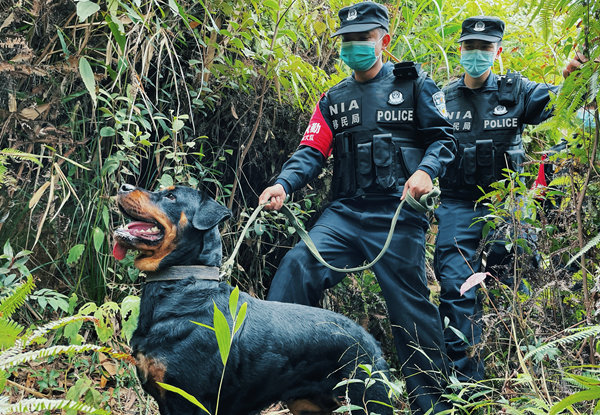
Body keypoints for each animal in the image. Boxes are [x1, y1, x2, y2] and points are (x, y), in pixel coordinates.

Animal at [112, 185, 394, 415]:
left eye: (171, 197)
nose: (123, 186)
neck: (184, 286)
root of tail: (371, 341)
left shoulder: (189, 401)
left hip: (368, 399)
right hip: (308, 405)